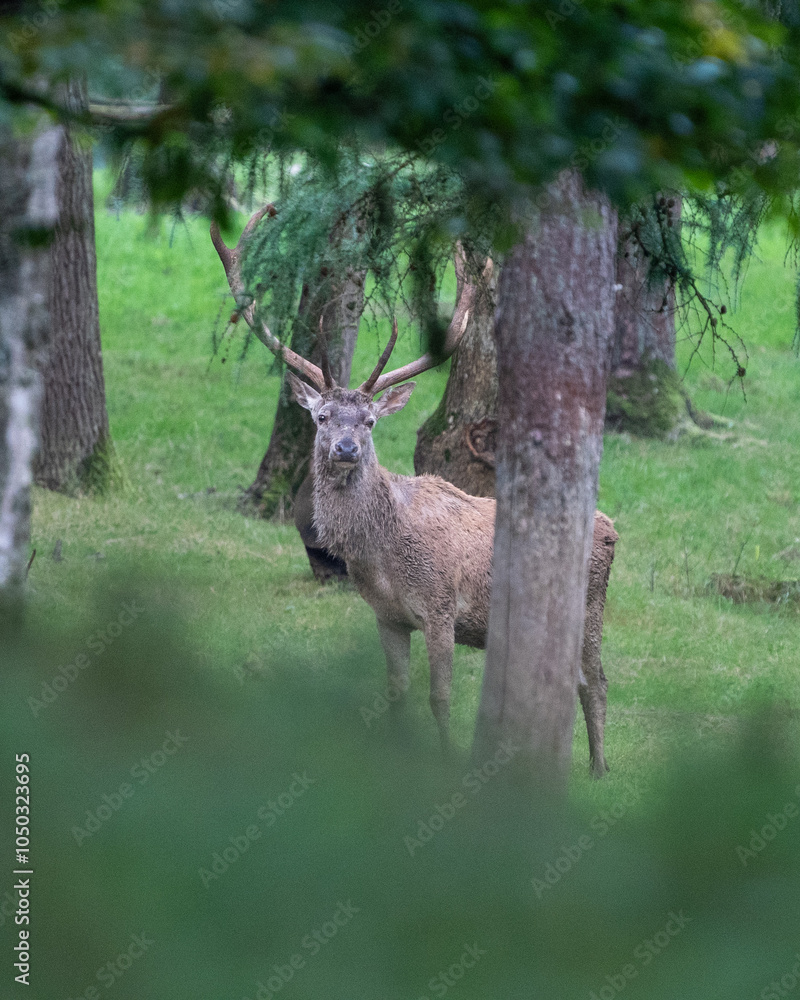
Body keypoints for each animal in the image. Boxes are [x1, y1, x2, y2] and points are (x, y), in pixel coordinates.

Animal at [211, 211, 618, 776]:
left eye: (370, 420)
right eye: (322, 416)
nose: (345, 448)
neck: (382, 554)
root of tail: (612, 529)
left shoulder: (442, 606)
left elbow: (439, 697)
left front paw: (445, 761)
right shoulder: (387, 616)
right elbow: (397, 692)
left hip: (591, 607)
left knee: (595, 681)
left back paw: (599, 769)